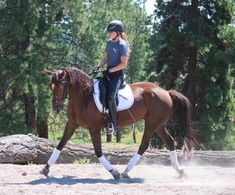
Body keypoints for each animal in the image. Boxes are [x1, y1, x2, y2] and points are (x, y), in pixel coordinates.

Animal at [40, 67, 195, 180]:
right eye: (50, 86)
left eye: (63, 85)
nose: (56, 108)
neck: (84, 97)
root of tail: (166, 92)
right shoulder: (72, 124)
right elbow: (60, 145)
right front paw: (45, 168)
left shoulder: (94, 128)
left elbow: (98, 151)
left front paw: (114, 172)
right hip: (159, 125)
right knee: (169, 142)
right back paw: (180, 171)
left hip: (152, 123)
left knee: (144, 145)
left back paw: (126, 171)